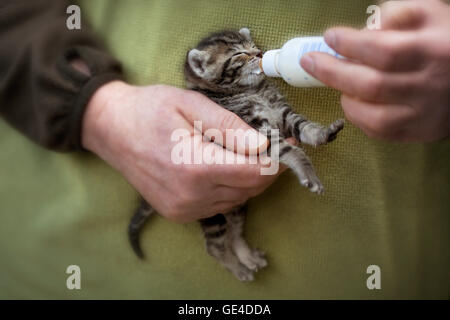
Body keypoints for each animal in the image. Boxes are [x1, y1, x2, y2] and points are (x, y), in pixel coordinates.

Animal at [130, 28, 344, 282]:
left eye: (253, 46)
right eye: (239, 54)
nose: (260, 53)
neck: (250, 90)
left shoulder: (283, 115)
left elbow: (304, 127)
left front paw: (322, 133)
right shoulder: (257, 131)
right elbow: (288, 149)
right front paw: (306, 172)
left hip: (236, 206)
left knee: (235, 232)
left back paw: (248, 257)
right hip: (211, 213)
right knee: (214, 246)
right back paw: (237, 267)